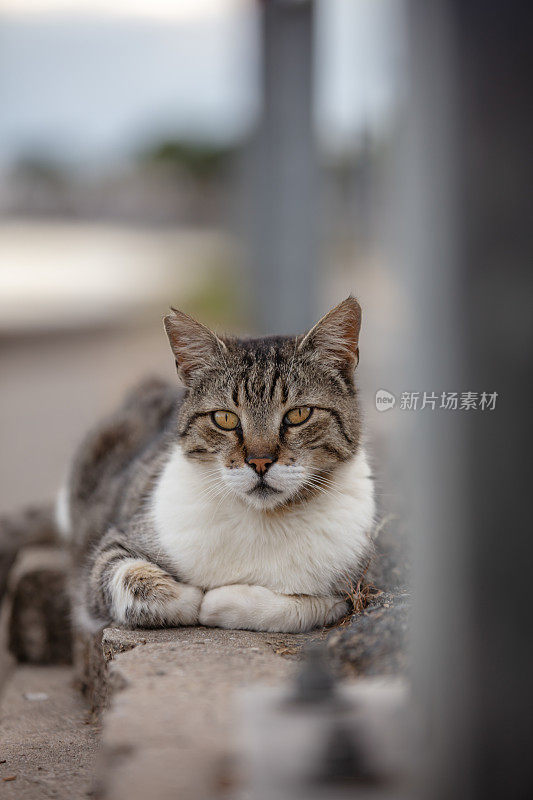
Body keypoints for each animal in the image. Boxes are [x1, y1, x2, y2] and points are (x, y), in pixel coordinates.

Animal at [56, 296, 374, 636]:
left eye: (298, 414)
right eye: (224, 419)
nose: (259, 462)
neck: (262, 520)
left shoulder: (354, 587)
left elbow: (301, 607)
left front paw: (220, 602)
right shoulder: (108, 553)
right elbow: (133, 581)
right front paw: (192, 597)